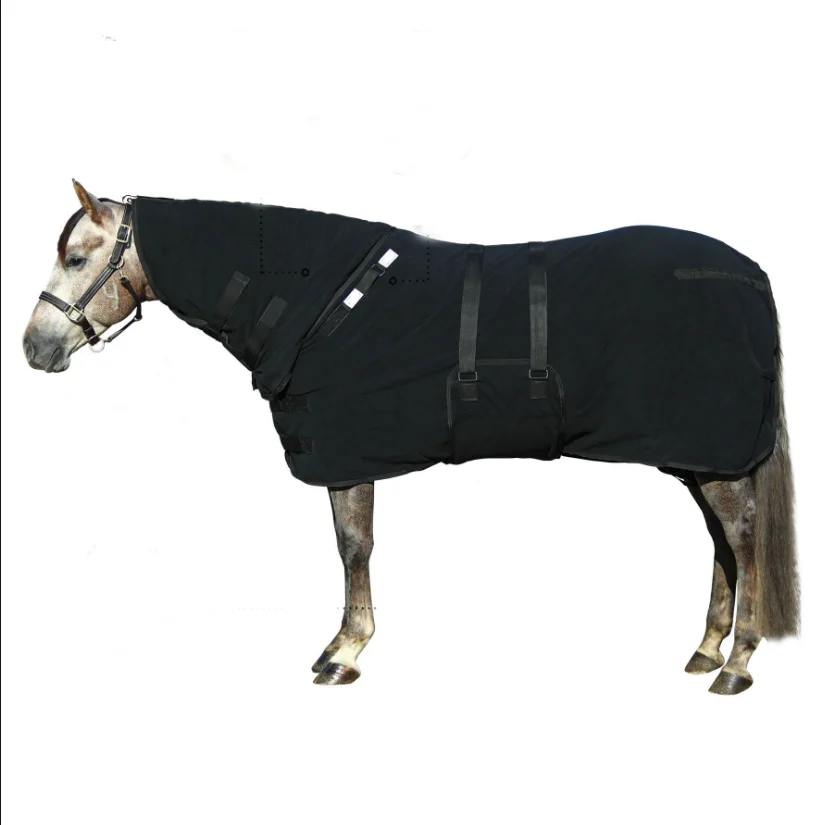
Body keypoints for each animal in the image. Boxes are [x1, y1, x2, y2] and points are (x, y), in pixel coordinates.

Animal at [22, 180, 800, 693]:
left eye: (77, 257)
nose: (35, 347)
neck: (323, 300)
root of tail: (751, 273)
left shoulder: (346, 454)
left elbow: (353, 547)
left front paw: (344, 650)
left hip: (711, 450)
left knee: (740, 537)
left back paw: (737, 662)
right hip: (692, 452)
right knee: (721, 542)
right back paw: (705, 649)